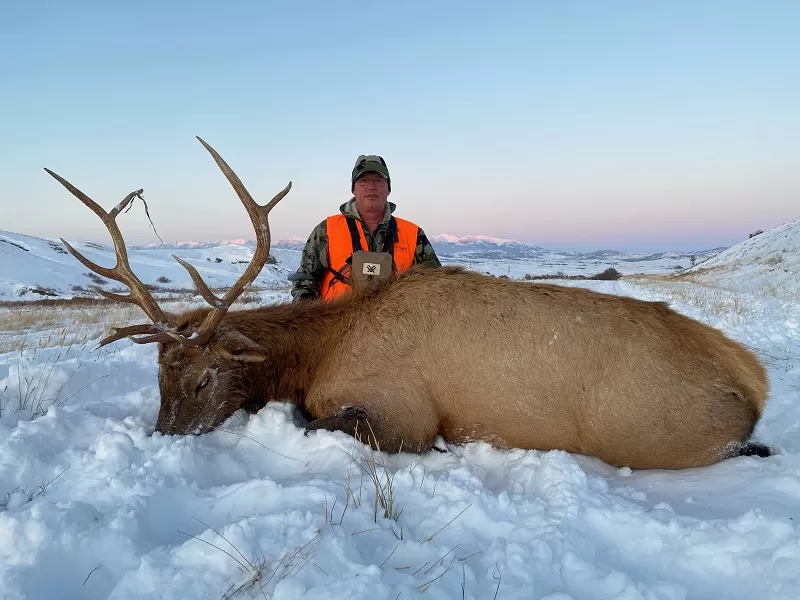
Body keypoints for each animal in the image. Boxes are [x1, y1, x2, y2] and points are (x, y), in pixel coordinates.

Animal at [47, 138, 772, 472]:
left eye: (203, 378)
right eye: (158, 378)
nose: (163, 439)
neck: (318, 352)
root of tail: (752, 382)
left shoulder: (403, 412)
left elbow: (315, 420)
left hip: (656, 434)